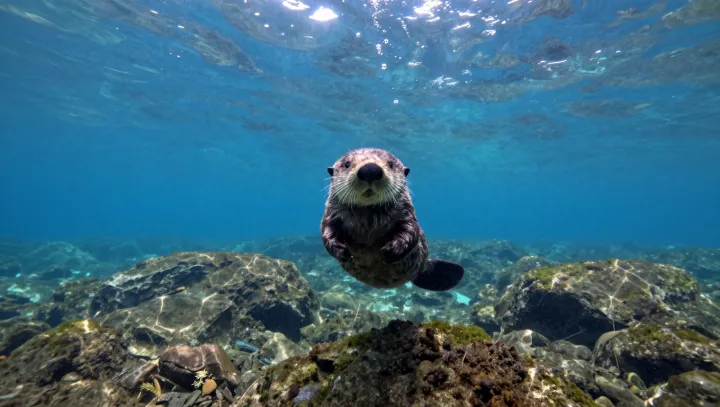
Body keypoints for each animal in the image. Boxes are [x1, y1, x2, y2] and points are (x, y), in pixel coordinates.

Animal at [320, 148, 465, 291]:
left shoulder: (406, 212)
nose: (370, 169)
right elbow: (327, 232)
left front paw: (391, 251)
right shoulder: (331, 214)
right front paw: (341, 251)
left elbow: (411, 230)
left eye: (390, 164)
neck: (369, 217)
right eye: (347, 164)